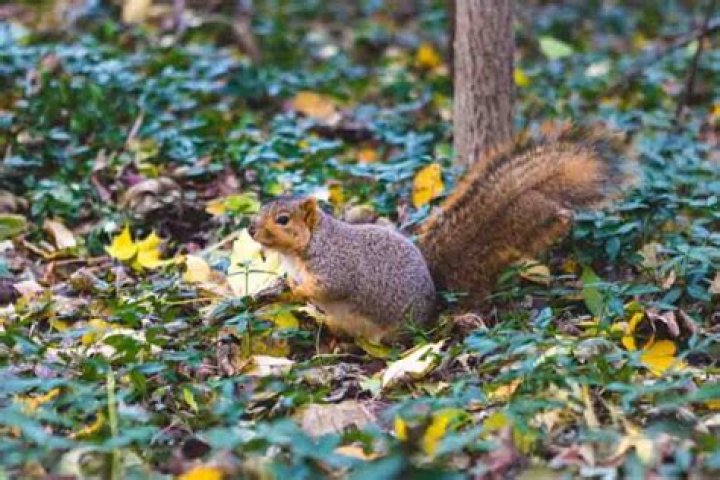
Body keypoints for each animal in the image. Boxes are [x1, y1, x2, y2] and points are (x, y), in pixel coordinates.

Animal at [248, 124, 628, 343]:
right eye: (265, 205)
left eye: (283, 219)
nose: (250, 228)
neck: (303, 250)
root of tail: (433, 308)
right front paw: (281, 286)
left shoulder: (335, 265)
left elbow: (329, 287)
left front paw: (298, 290)